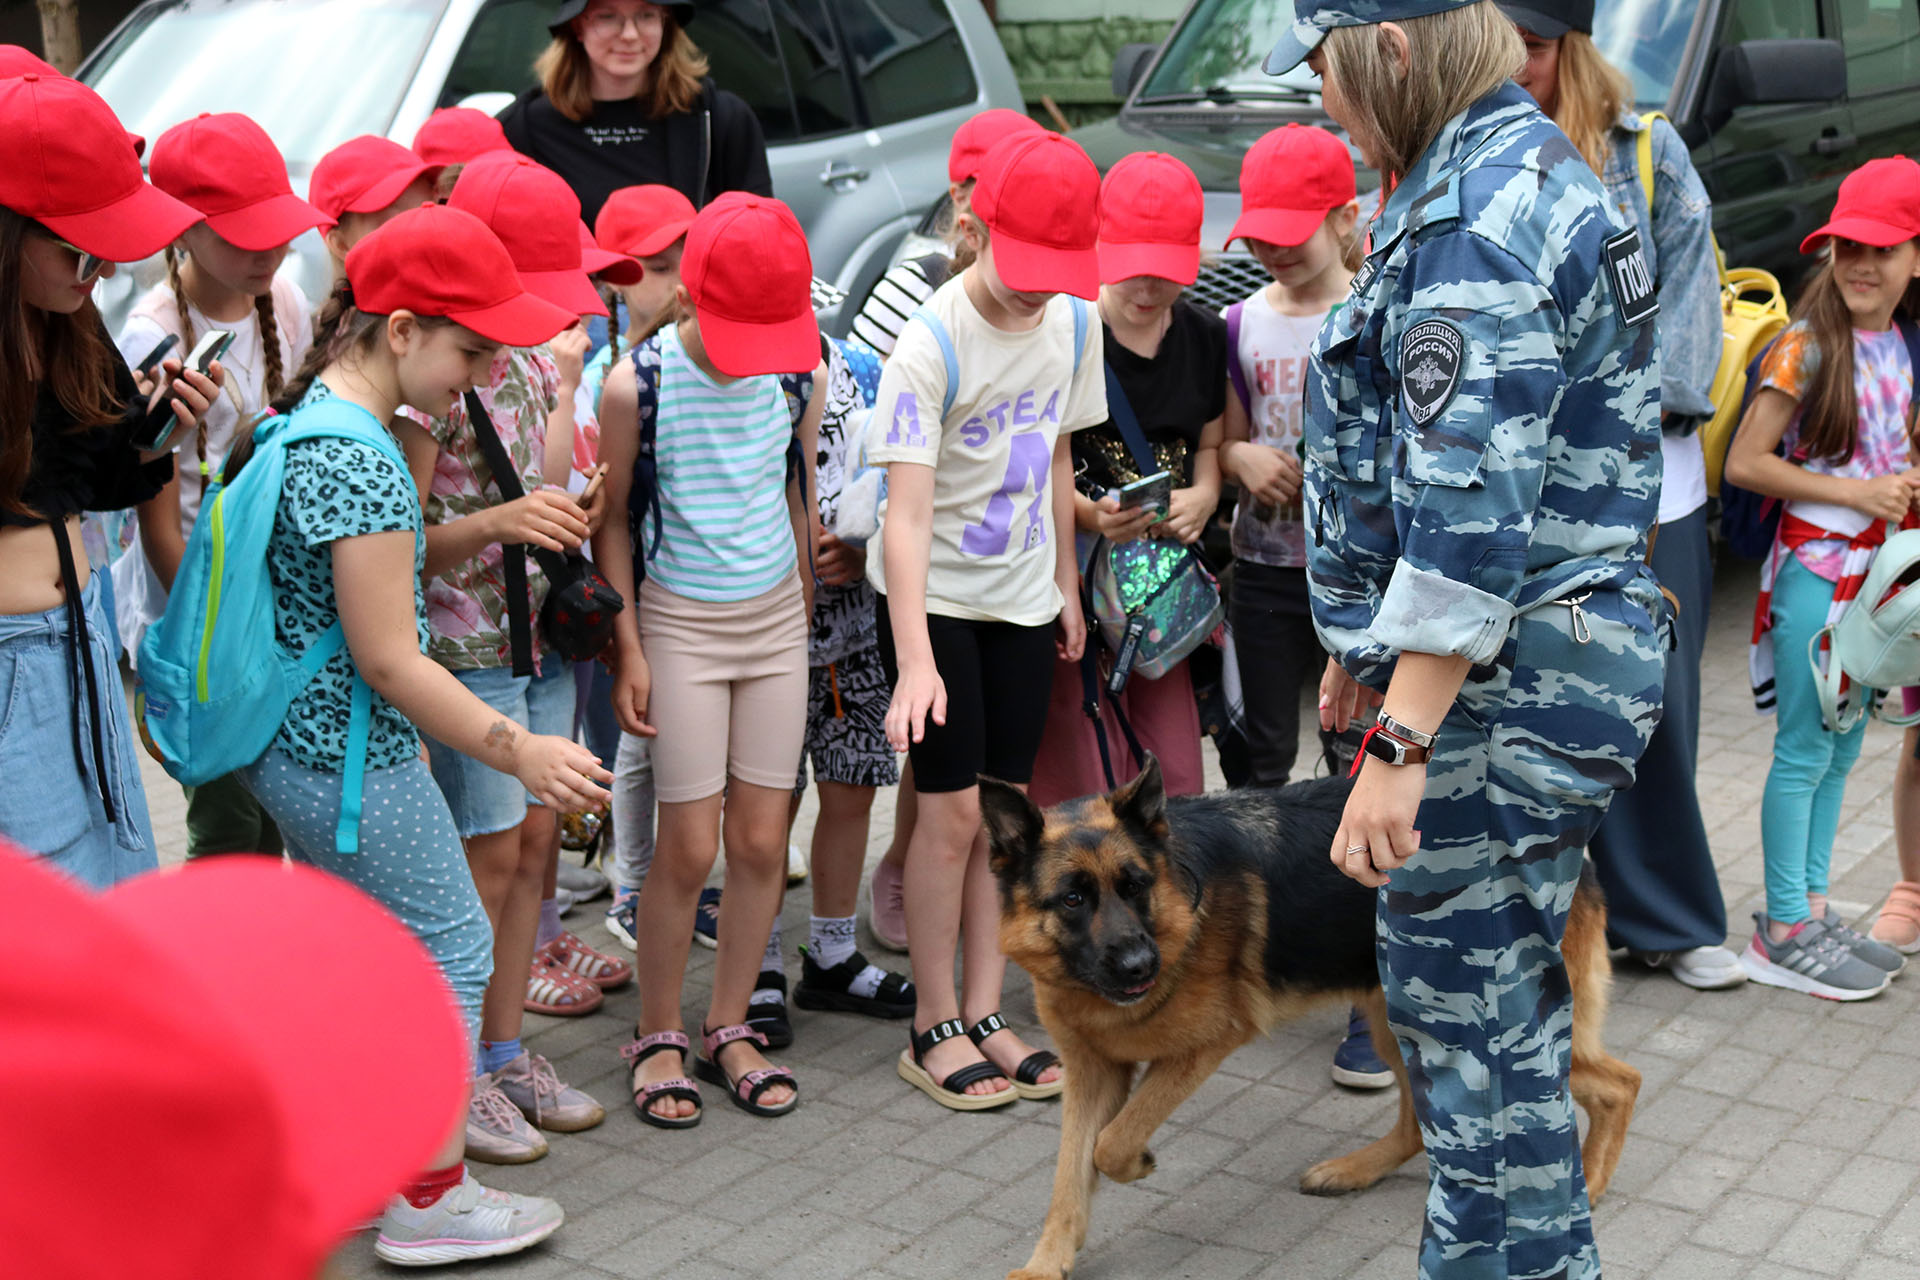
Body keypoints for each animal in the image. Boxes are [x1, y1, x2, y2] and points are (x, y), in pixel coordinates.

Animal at [990, 759, 1635, 1280]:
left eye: (1136, 886)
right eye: (1072, 899)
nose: (1138, 966)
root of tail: (1567, 855)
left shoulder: (1204, 1048)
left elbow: (1111, 1144)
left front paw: (1138, 1161)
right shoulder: (1090, 1073)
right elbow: (1070, 1176)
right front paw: (1046, 1264)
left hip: (1499, 1035)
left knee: (1621, 1085)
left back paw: (1590, 1185)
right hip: (1402, 1021)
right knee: (1416, 1125)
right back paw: (1354, 1171)